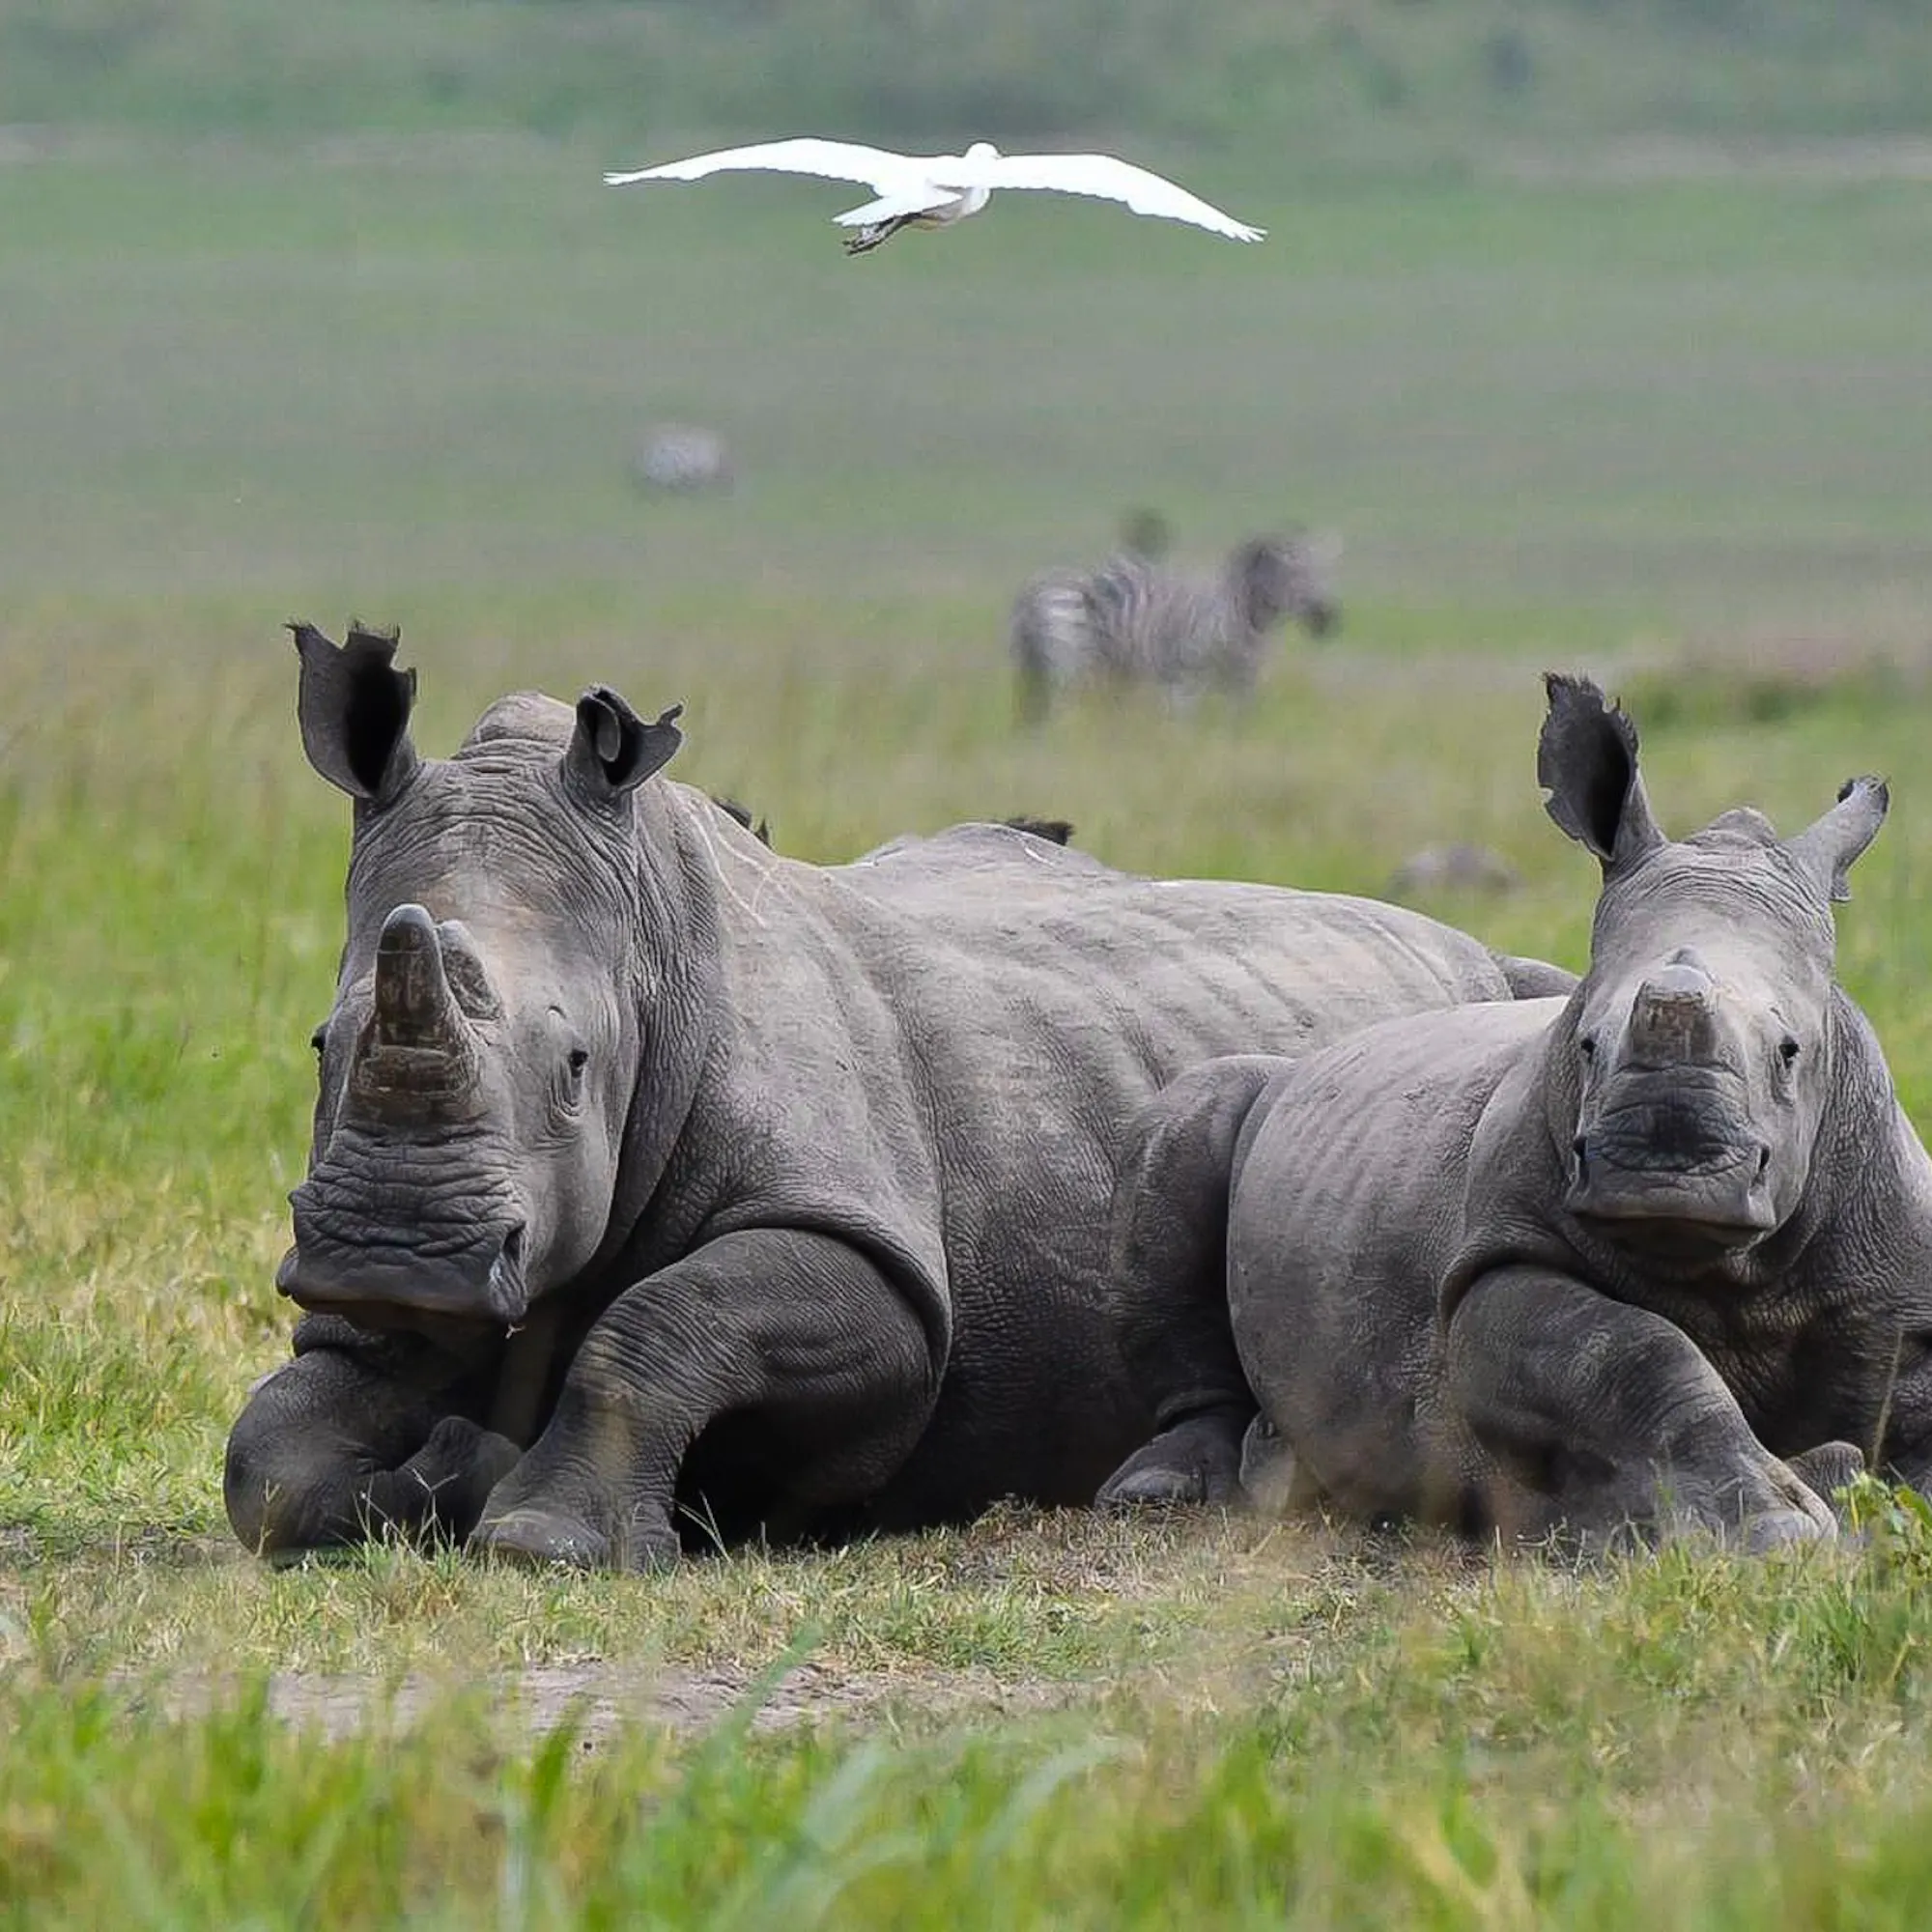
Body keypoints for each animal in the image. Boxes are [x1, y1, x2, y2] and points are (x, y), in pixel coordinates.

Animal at [224, 620, 1569, 1572]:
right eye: (319, 1043)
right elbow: (270, 1454)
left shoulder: (874, 1258)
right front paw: (448, 1464)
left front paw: (536, 1535)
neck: (654, 941)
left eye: (574, 1067)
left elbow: (663, 1322)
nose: (394, 1256)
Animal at [1010, 527, 1340, 722]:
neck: (1236, 618)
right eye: (1290, 576)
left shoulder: (1242, 681)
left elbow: (1238, 725)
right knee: (1059, 708)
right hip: (1068, 657)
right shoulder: (1186, 675)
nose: (1327, 620)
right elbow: (1184, 725)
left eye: (1318, 573)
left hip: (1036, 663)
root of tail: (1031, 590)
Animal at [1098, 674, 1932, 1550]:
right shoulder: (1495, 1258)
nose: (1664, 1174)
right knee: (1191, 1121)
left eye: (1791, 1051)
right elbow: (1633, 1354)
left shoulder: (1899, 1284)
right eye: (1588, 1043)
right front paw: (1775, 1530)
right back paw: (1170, 1489)